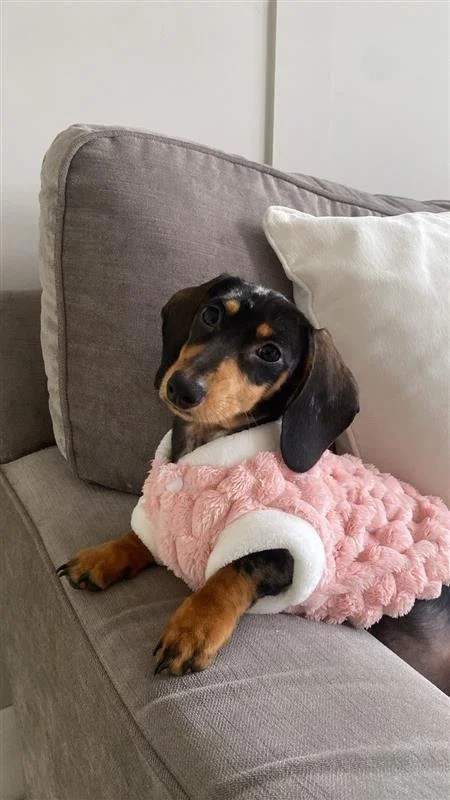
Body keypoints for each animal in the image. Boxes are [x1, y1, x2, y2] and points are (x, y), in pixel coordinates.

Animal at [58, 275, 450, 691]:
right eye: (210, 315)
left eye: (270, 353)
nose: (181, 387)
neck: (204, 448)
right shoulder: (164, 525)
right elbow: (140, 539)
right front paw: (103, 556)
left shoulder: (290, 547)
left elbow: (232, 572)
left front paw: (193, 628)